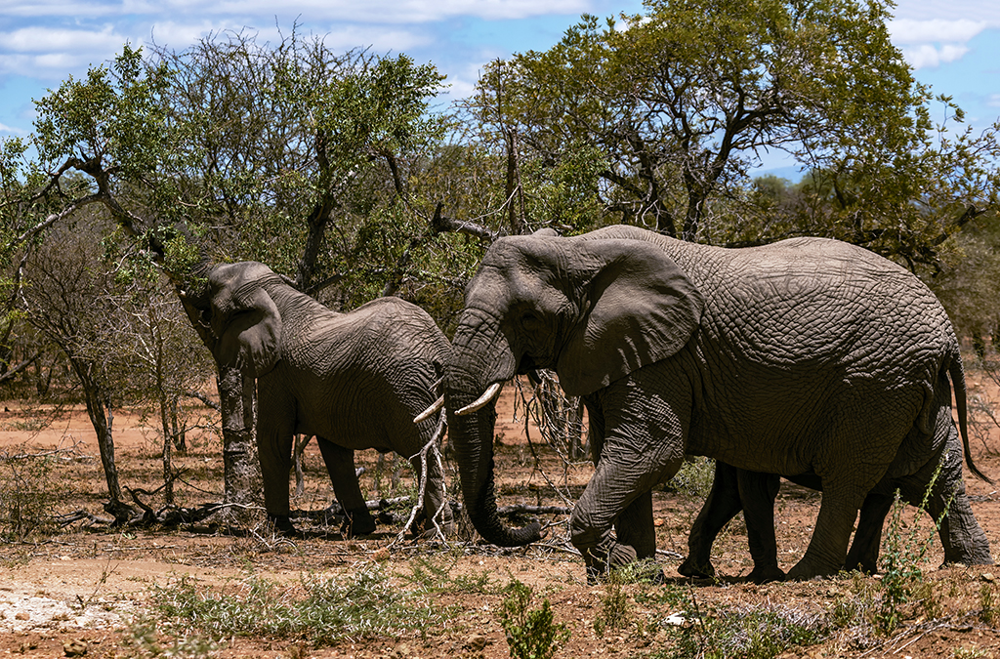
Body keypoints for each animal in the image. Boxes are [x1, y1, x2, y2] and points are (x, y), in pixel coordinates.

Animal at [208, 260, 458, 540]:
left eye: (212, 296)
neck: (271, 291)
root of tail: (438, 347)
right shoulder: (330, 394)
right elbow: (335, 453)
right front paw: (359, 529)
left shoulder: (278, 372)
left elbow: (273, 440)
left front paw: (278, 530)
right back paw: (423, 529)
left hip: (405, 388)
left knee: (422, 451)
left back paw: (437, 532)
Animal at [444, 224, 992, 580]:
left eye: (528, 316)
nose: (531, 525)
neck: (579, 250)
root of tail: (948, 332)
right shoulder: (616, 350)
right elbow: (617, 453)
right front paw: (641, 571)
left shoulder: (666, 356)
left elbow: (651, 449)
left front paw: (624, 565)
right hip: (908, 382)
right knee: (934, 469)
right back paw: (966, 565)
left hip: (874, 380)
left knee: (849, 475)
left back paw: (807, 574)